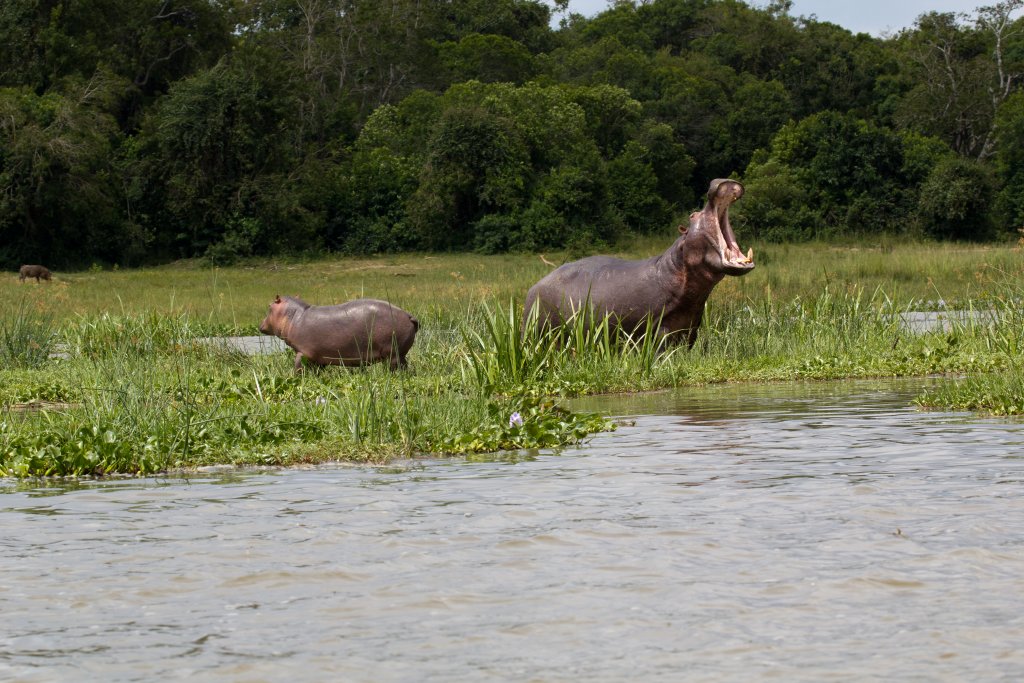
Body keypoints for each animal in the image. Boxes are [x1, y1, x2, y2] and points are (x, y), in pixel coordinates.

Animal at [259, 295, 419, 371]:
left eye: (269, 306)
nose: (260, 325)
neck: (294, 316)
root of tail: (409, 316)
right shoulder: (318, 357)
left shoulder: (302, 352)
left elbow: (298, 367)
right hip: (400, 354)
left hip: (392, 354)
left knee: (395, 368)